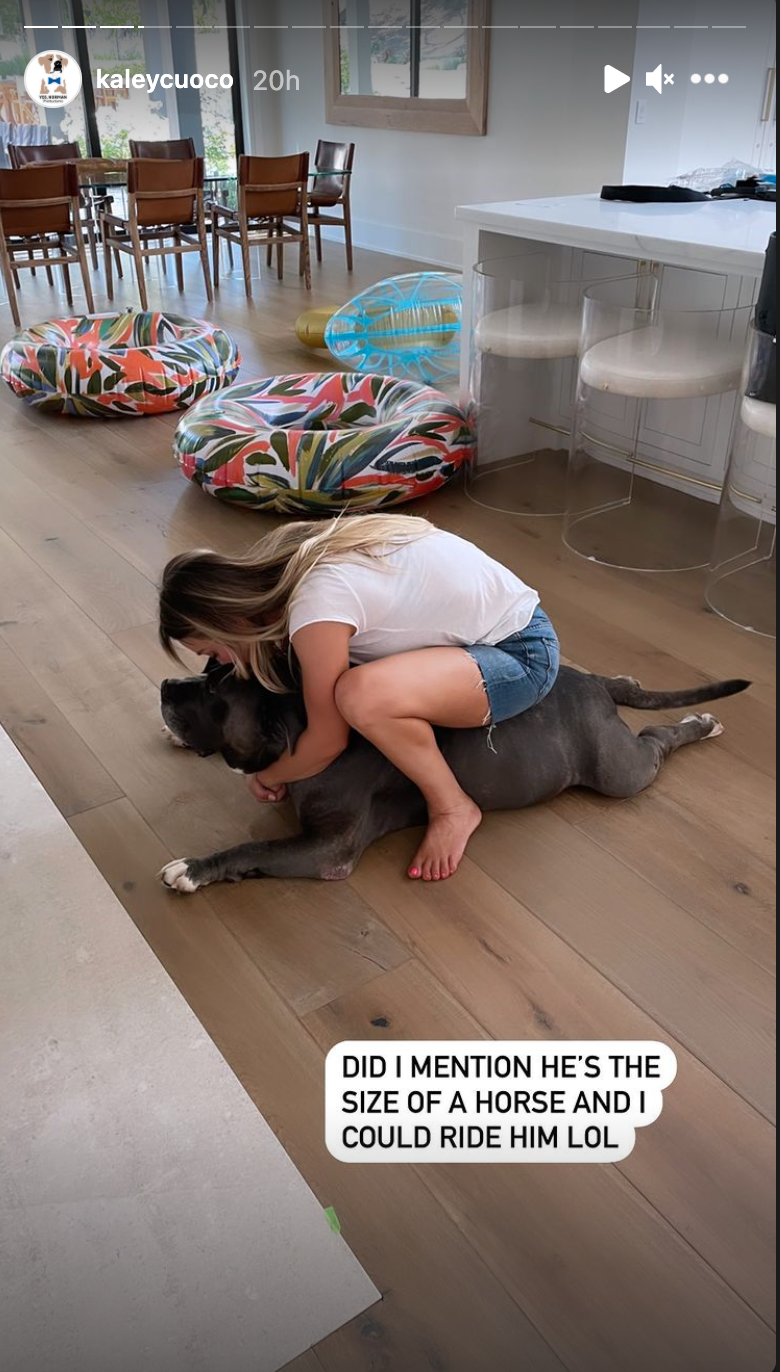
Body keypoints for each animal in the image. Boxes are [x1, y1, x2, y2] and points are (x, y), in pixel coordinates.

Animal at [157, 661, 749, 893]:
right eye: (205, 671)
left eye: (216, 696)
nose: (165, 684)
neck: (303, 724)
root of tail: (593, 687)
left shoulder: (328, 849)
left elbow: (252, 849)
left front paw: (194, 867)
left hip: (618, 769)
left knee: (656, 743)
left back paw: (701, 724)